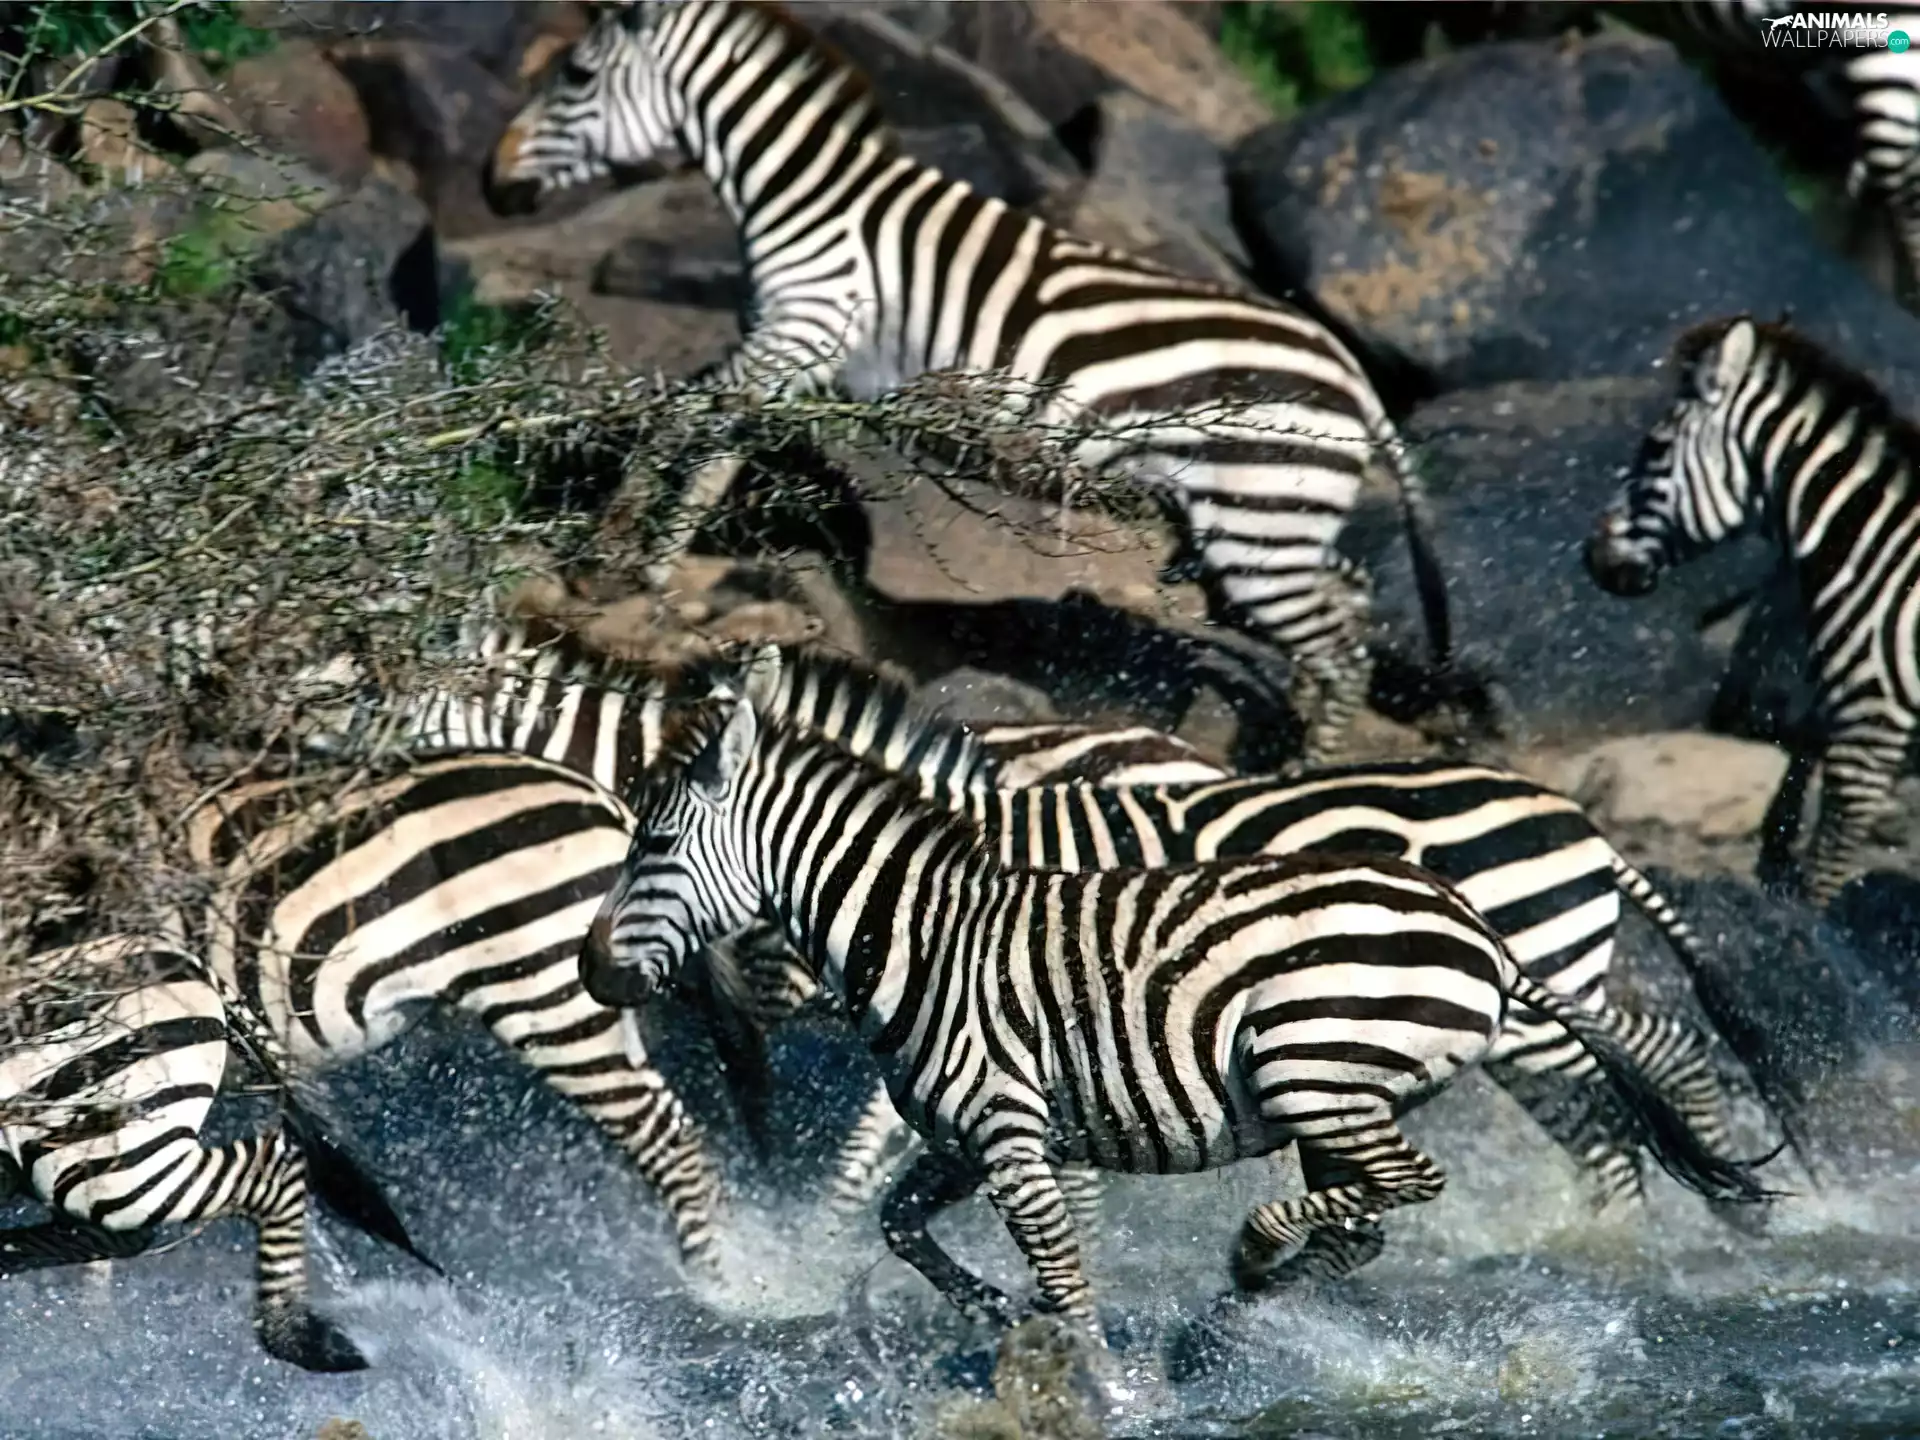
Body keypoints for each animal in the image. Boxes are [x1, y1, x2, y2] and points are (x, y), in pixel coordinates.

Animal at [483, 0, 1455, 763]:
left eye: (575, 74)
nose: (491, 186)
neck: (804, 200)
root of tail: (1353, 375)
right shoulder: (795, 356)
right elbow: (718, 442)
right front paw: (649, 565)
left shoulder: (801, 326)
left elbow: (682, 410)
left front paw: (608, 547)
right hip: (1275, 522)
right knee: (1347, 608)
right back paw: (1283, 739)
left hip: (1259, 525)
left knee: (1341, 649)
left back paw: (1297, 774)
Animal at [577, 692, 1776, 1330]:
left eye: (653, 844)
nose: (592, 972)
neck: (931, 915)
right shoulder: (980, 1125)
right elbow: (902, 1216)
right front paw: (988, 1308)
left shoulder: (1005, 1108)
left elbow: (1041, 1250)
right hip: (1379, 1078)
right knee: (1393, 1205)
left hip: (1362, 1056)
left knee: (1507, 1145)